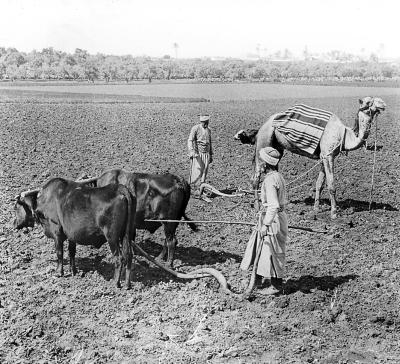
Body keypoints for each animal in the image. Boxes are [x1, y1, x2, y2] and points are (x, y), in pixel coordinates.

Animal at [233, 95, 386, 218]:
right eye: (368, 101)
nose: (383, 103)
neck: (344, 136)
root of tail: (261, 127)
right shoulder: (328, 156)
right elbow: (331, 185)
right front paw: (334, 213)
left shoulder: (324, 156)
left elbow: (319, 184)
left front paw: (316, 209)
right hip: (263, 143)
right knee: (255, 178)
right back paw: (258, 208)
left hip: (277, 147)